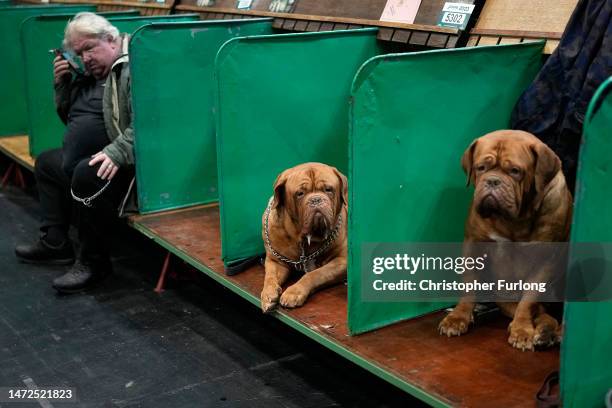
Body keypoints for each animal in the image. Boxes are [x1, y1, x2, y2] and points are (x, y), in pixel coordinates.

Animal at [440, 131, 572, 350]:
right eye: (481, 167)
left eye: (515, 171)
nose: (493, 181)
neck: (514, 221)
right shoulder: (473, 244)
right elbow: (469, 285)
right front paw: (458, 318)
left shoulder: (546, 260)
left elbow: (529, 299)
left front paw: (522, 330)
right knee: (542, 313)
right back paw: (545, 332)